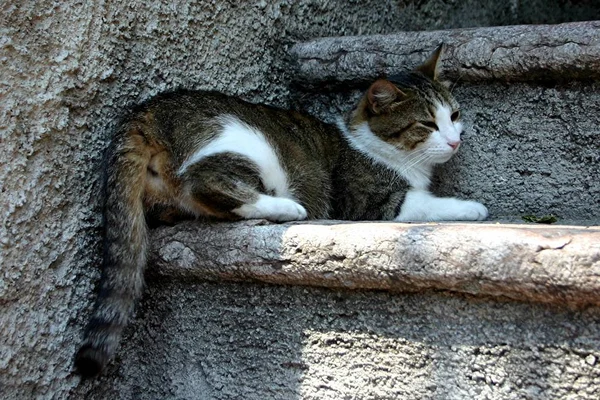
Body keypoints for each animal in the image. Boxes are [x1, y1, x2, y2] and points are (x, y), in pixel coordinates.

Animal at [75, 44, 488, 378]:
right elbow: (427, 203)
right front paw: (472, 207)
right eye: (427, 124)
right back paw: (287, 208)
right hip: (248, 144)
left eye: (454, 115)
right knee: (202, 183)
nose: (455, 140)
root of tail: (147, 111)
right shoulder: (371, 202)